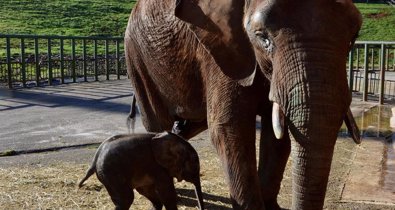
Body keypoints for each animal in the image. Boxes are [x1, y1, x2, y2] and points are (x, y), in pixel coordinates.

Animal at [125, 0, 364, 209]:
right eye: (263, 38)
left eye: (354, 37)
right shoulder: (220, 51)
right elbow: (229, 128)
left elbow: (278, 132)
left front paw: (271, 207)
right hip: (138, 59)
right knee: (157, 124)